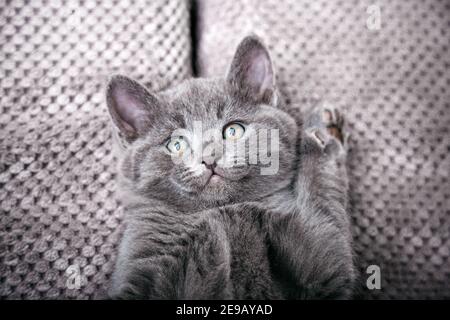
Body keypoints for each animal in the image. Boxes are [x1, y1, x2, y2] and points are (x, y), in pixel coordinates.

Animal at [105, 36, 356, 298]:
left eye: (234, 130)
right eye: (176, 144)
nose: (209, 158)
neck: (224, 210)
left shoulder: (321, 256)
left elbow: (322, 202)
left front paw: (325, 130)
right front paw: (325, 129)